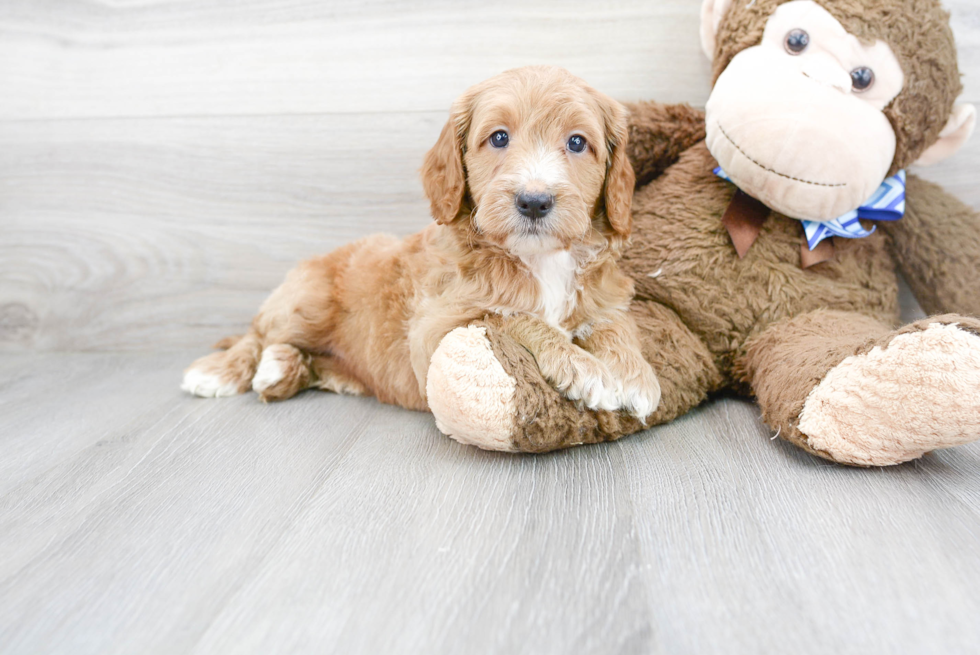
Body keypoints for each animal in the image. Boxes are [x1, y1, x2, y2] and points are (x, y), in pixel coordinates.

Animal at [181, 65, 664, 420]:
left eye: (577, 143)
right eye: (499, 137)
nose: (534, 201)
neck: (540, 260)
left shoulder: (604, 295)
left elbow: (613, 324)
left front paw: (636, 375)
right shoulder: (437, 332)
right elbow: (511, 317)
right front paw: (584, 367)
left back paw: (284, 369)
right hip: (307, 301)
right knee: (256, 333)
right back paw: (222, 371)